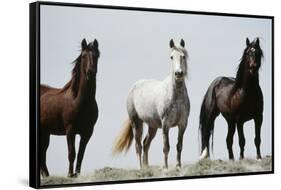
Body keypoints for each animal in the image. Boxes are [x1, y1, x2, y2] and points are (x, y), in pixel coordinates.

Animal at [39, 38, 99, 178]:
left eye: (96, 55)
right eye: (83, 56)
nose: (91, 72)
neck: (79, 101)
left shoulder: (87, 132)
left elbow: (81, 154)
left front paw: (77, 174)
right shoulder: (70, 130)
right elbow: (72, 153)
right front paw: (70, 174)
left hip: (45, 133)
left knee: (42, 155)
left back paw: (47, 176)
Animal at [112, 39, 189, 169]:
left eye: (183, 56)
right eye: (171, 57)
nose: (178, 73)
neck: (175, 95)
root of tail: (134, 87)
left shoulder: (182, 124)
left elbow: (179, 145)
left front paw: (178, 166)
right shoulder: (165, 124)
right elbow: (166, 147)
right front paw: (166, 168)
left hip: (152, 126)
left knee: (145, 144)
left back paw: (146, 167)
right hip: (136, 123)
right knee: (138, 145)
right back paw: (140, 168)